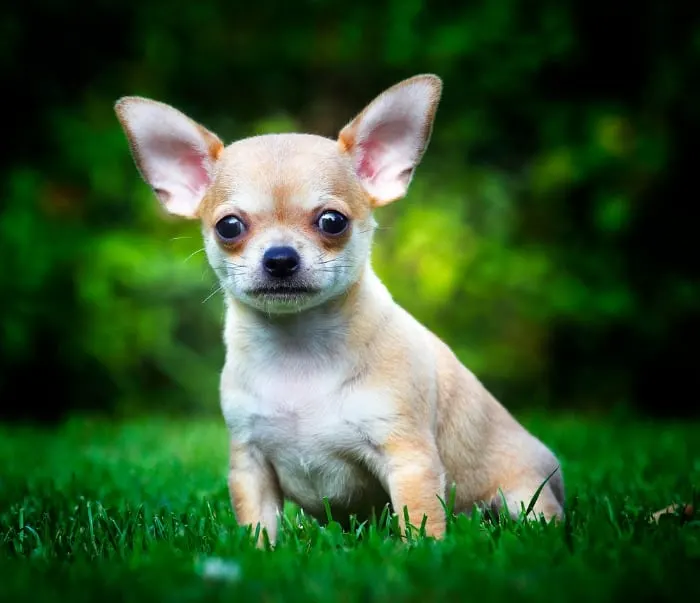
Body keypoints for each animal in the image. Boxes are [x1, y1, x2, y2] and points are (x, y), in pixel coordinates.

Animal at [115, 73, 564, 544]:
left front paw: (422, 554)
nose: (279, 258)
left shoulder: (409, 458)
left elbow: (419, 520)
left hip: (524, 496)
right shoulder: (250, 463)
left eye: (332, 221)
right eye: (229, 227)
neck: (296, 347)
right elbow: (258, 525)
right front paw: (261, 554)